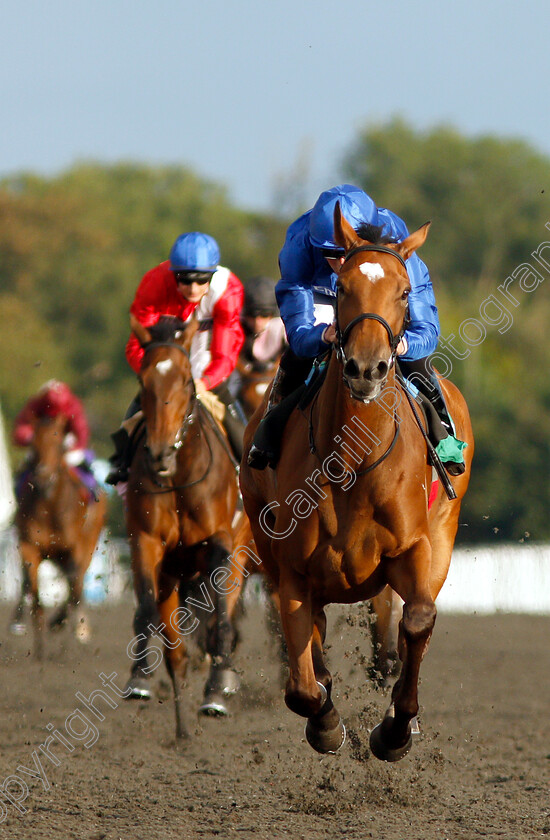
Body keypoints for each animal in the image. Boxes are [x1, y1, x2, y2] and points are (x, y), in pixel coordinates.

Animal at [12, 414, 106, 656]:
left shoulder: (75, 549)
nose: (43, 477)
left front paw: (60, 623)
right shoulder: (30, 546)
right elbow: (34, 590)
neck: (50, 507)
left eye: (57, 444)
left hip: (87, 546)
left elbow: (74, 587)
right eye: (34, 444)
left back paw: (78, 628)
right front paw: (39, 647)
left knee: (77, 585)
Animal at [125, 314, 246, 736]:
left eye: (183, 380)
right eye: (143, 380)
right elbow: (145, 611)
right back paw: (180, 731)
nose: (159, 453)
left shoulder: (220, 542)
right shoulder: (146, 542)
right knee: (175, 651)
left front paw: (217, 689)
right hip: (171, 577)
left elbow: (221, 621)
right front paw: (139, 678)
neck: (178, 475)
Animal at [242, 203, 474, 760]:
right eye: (343, 285)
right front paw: (326, 724)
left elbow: (418, 619)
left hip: (443, 533)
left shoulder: (414, 548)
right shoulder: (293, 572)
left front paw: (395, 729)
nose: (366, 368)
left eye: (405, 291)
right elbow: (302, 685)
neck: (353, 460)